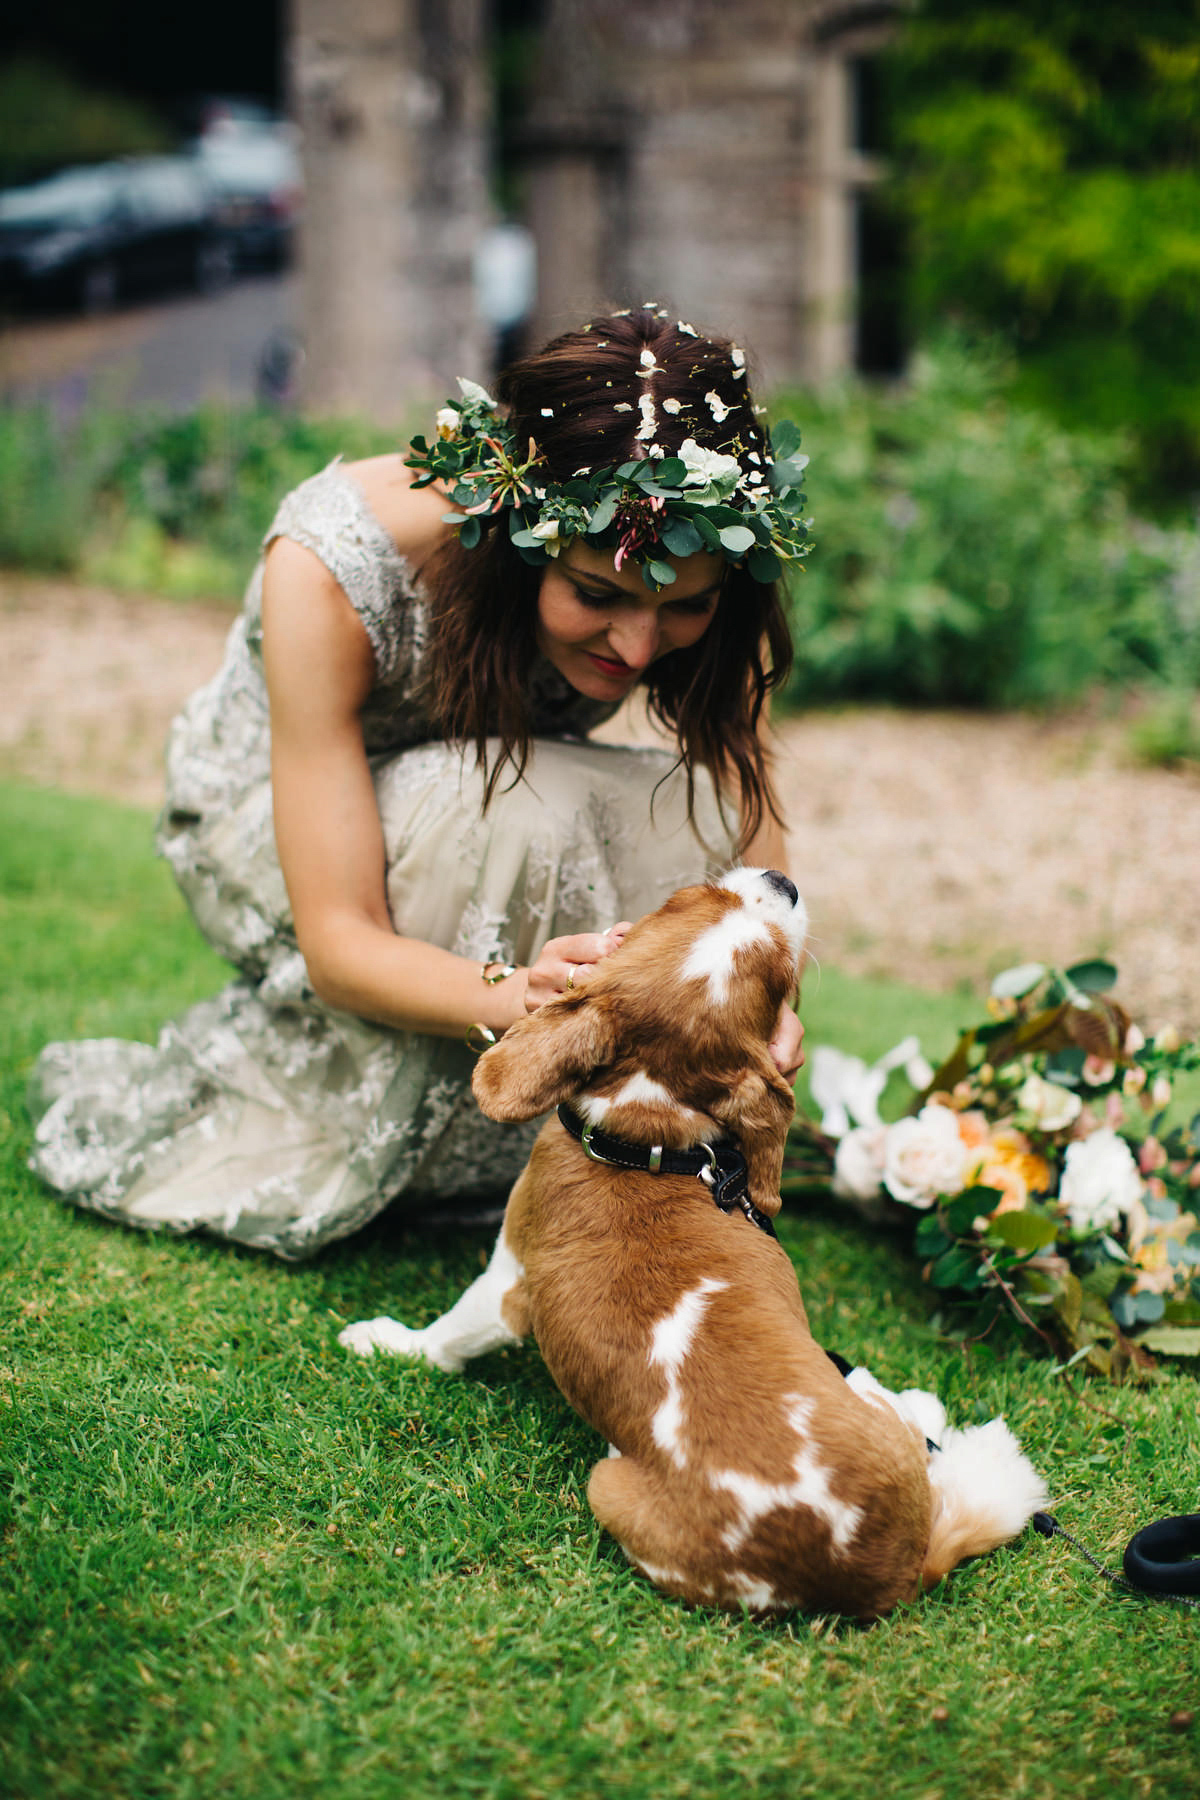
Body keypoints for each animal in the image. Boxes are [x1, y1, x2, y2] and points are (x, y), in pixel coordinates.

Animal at [341, 867, 1043, 1620]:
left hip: (610, 1482)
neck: (646, 1136)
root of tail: (887, 1572)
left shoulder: (507, 1280)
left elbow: (445, 1337)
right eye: (692, 900)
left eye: (783, 974)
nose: (782, 879)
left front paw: (385, 1340)